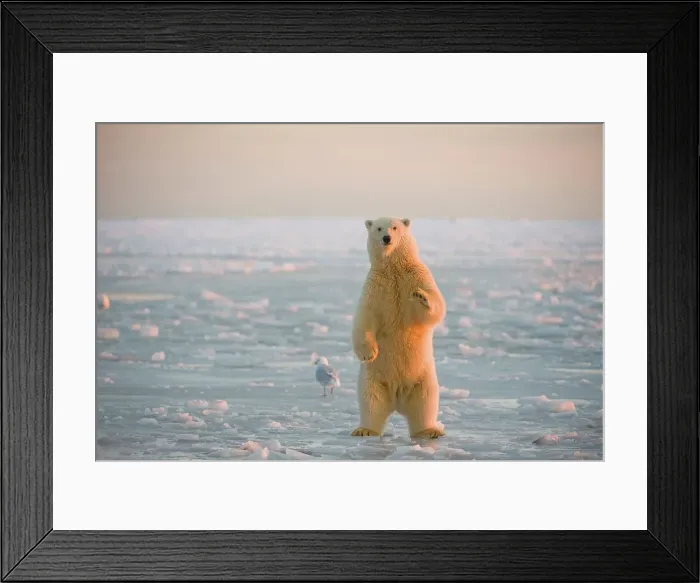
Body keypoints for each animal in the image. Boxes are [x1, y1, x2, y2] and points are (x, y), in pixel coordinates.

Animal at [350, 217, 447, 439]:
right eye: (378, 228)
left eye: (395, 227)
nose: (387, 238)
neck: (394, 269)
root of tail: (397, 400)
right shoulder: (375, 286)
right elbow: (365, 316)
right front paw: (368, 353)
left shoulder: (416, 275)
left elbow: (434, 306)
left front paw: (421, 297)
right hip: (373, 378)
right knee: (371, 402)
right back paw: (364, 430)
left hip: (423, 378)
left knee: (425, 403)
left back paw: (430, 431)